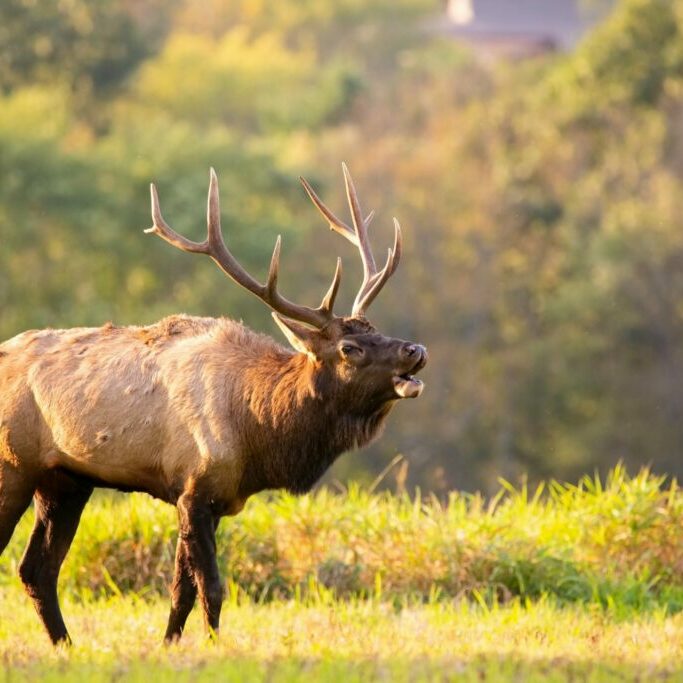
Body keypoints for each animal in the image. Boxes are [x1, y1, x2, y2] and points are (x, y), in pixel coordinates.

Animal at [0, 163, 428, 644]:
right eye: (350, 348)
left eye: (377, 329)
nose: (415, 350)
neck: (258, 433)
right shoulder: (194, 488)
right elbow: (213, 589)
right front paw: (214, 646)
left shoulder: (216, 499)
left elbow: (180, 592)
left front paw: (170, 645)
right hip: (13, 464)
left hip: (65, 481)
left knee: (36, 569)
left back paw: (66, 645)